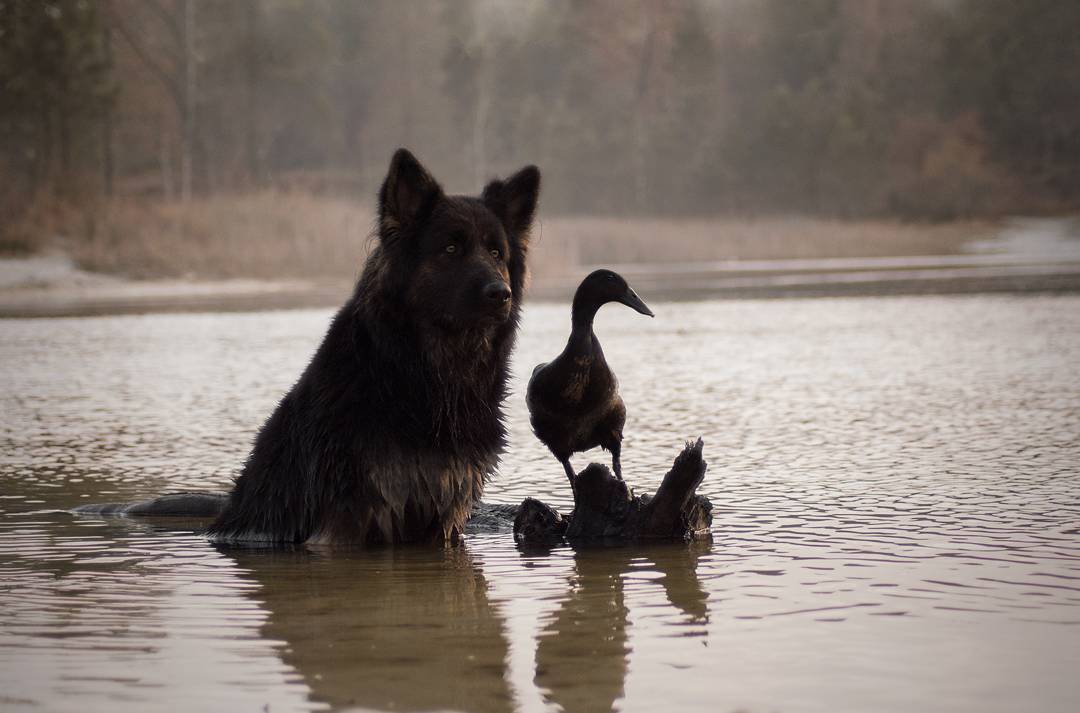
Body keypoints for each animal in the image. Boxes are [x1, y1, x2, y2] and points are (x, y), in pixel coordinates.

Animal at [203, 148, 540, 542]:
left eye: (496, 253)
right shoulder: (353, 514)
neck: (430, 380)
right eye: (451, 248)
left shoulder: (445, 513)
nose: (500, 294)